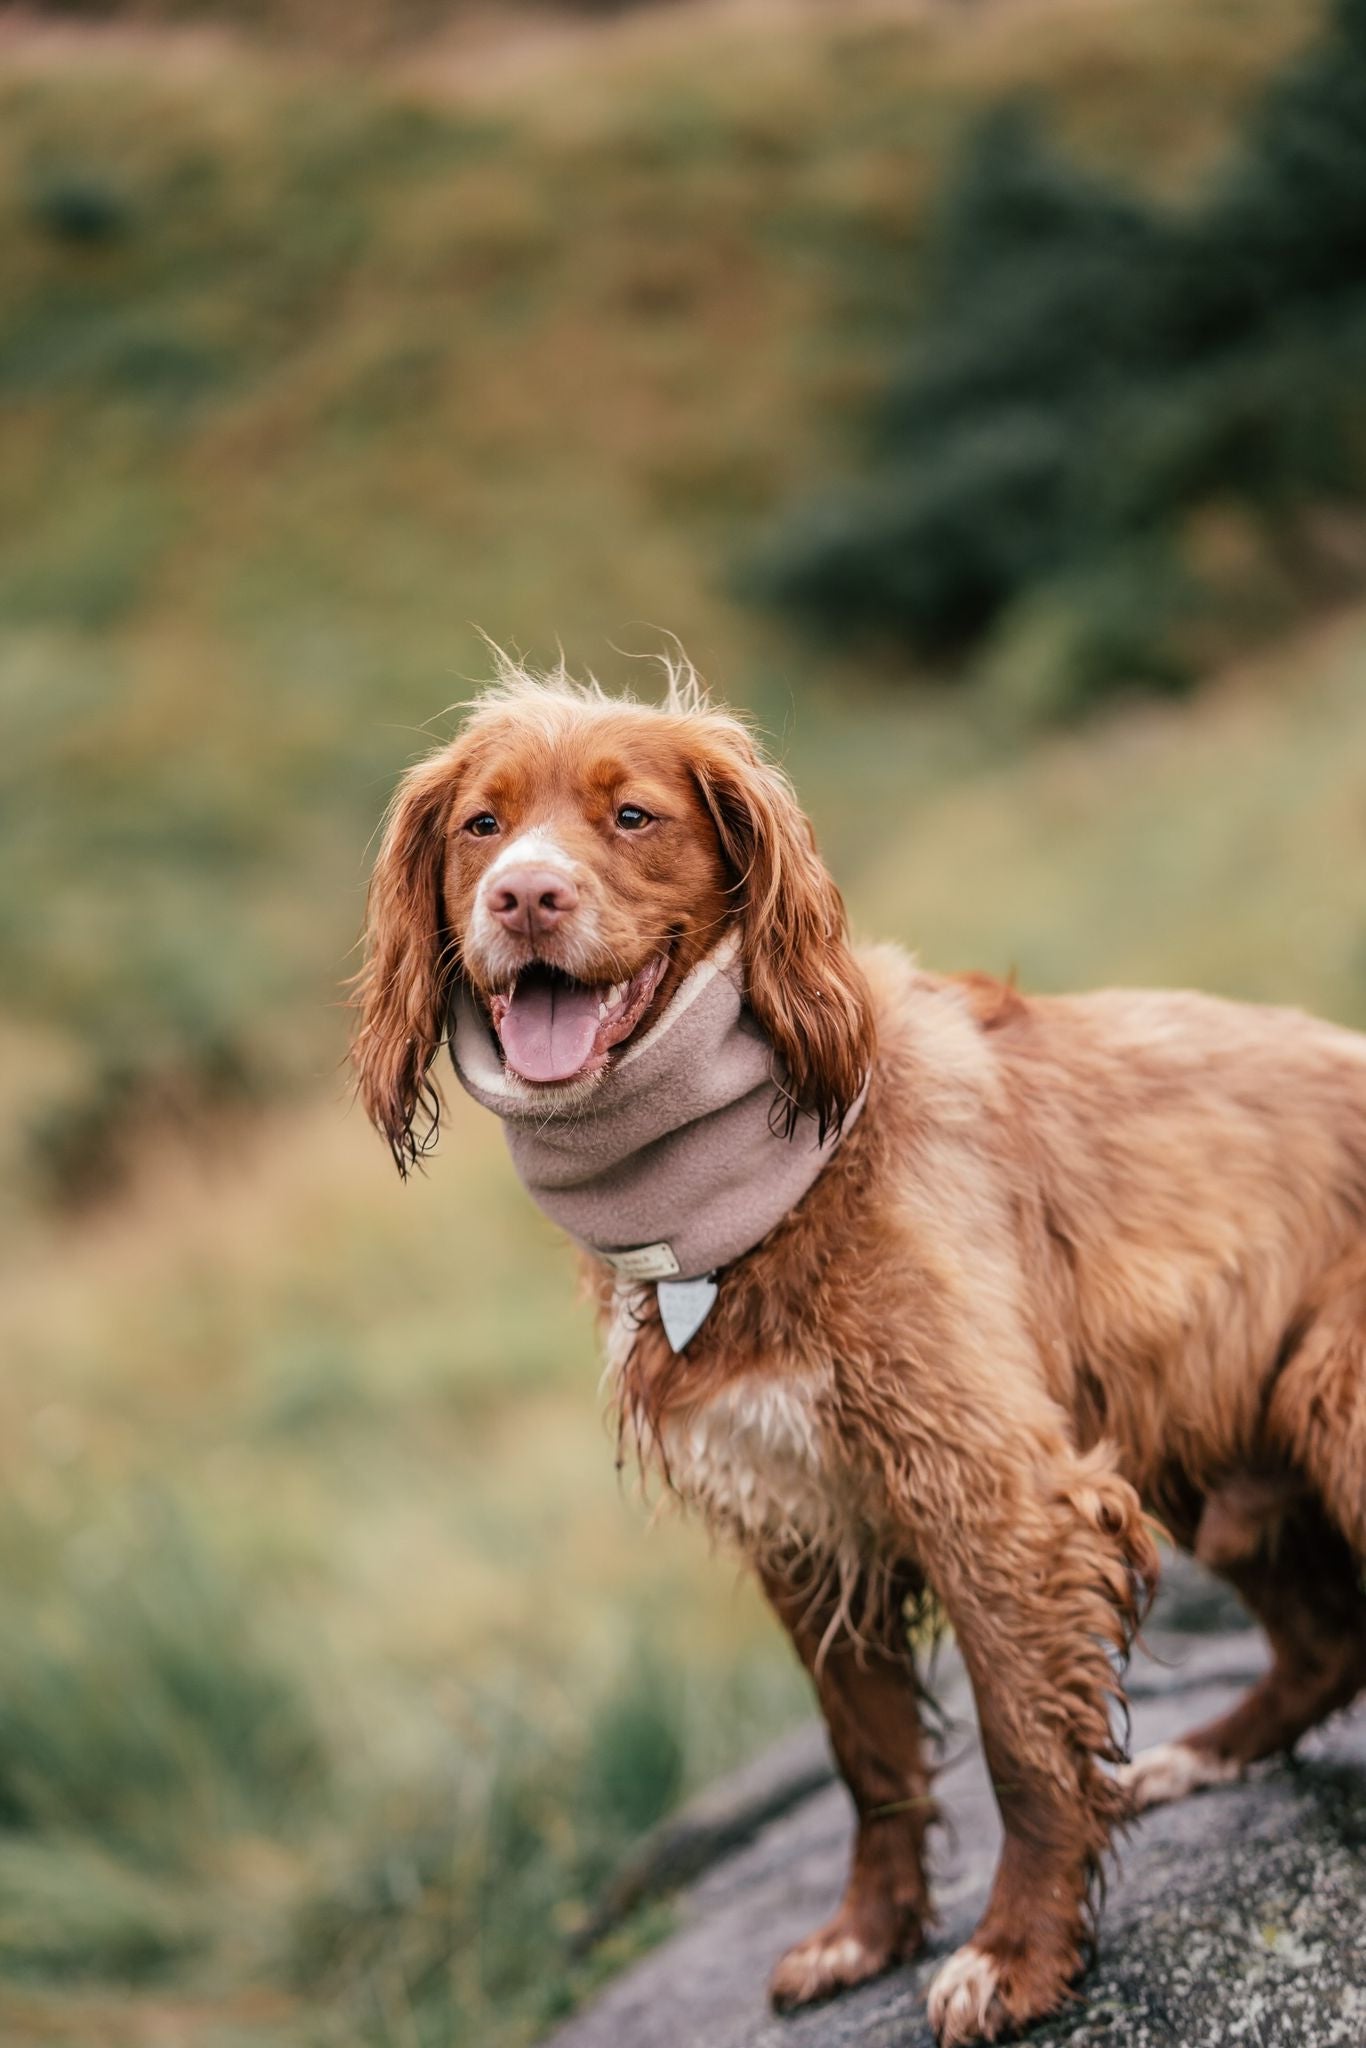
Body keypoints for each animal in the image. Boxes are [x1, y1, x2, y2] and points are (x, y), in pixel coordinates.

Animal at [352, 659, 1366, 2048]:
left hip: (1327, 1390)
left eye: (632, 815)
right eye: (482, 826)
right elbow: (869, 1752)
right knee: (1323, 1643)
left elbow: (1021, 1744)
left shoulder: (994, 1493)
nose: (525, 896)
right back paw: (1200, 1750)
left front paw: (1016, 1955)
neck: (750, 1182)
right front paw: (866, 1933)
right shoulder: (798, 1511)